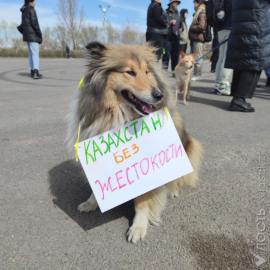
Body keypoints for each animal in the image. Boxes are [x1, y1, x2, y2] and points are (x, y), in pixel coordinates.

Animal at [67, 42, 202, 245]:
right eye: (130, 72)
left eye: (147, 72)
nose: (158, 95)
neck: (121, 116)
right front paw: (92, 202)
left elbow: (142, 201)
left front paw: (138, 227)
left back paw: (173, 189)